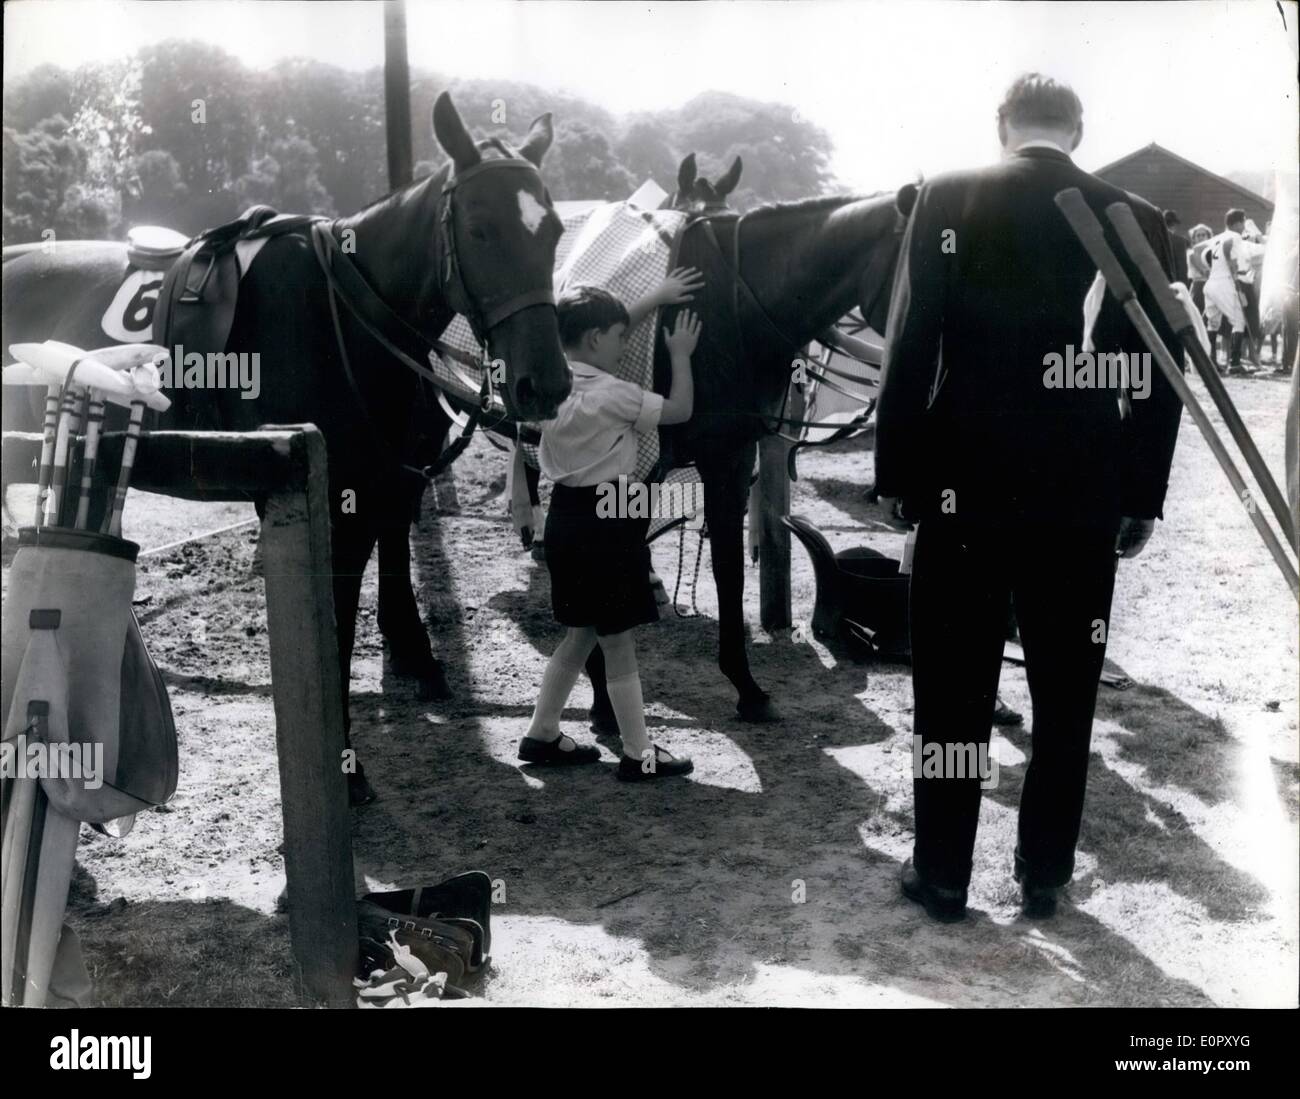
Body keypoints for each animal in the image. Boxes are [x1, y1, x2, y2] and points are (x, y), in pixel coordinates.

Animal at [0, 92, 569, 795]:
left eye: (554, 232)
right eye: (483, 229)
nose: (545, 383)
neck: (343, 313)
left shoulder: (388, 485)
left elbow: (389, 570)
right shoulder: (333, 502)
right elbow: (336, 631)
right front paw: (345, 767)